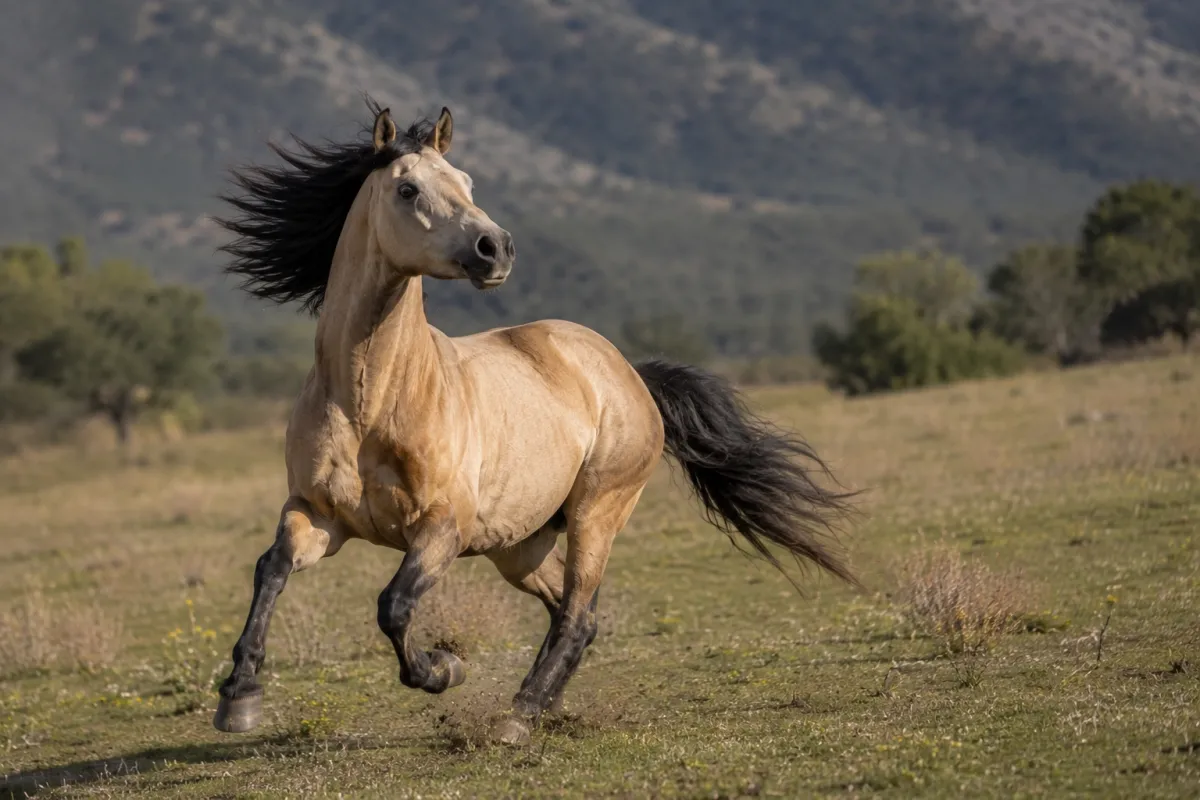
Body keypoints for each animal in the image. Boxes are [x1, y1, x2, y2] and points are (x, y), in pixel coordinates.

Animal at [211, 100, 859, 746]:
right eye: (408, 189)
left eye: (467, 181)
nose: (495, 247)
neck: (369, 404)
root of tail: (626, 373)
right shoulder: (318, 514)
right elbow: (271, 569)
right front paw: (239, 698)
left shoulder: (442, 528)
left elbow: (393, 605)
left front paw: (444, 668)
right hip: (518, 546)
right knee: (573, 612)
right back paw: (540, 706)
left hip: (597, 514)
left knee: (576, 613)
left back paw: (517, 717)